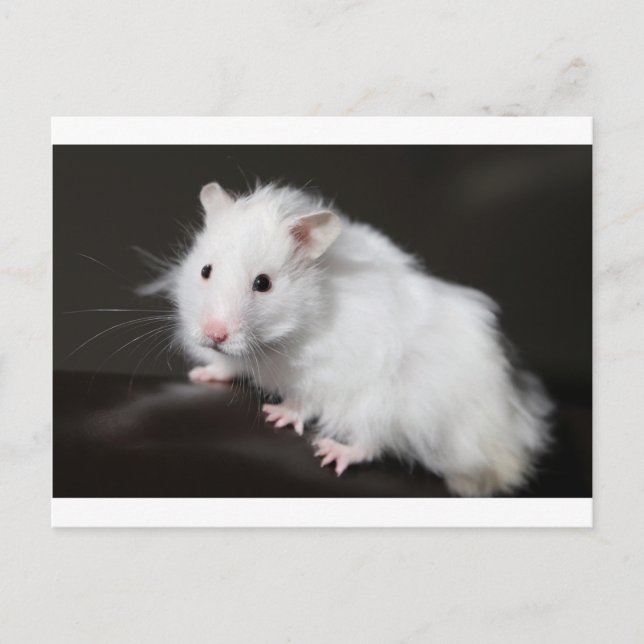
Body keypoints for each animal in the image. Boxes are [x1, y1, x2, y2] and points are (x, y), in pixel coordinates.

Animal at [148, 181, 553, 496]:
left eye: (263, 283)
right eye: (205, 270)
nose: (214, 334)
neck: (274, 343)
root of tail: (507, 429)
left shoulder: (329, 375)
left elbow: (305, 401)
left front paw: (279, 414)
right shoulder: (238, 357)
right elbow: (227, 366)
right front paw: (201, 374)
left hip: (391, 405)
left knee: (370, 443)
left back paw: (332, 452)